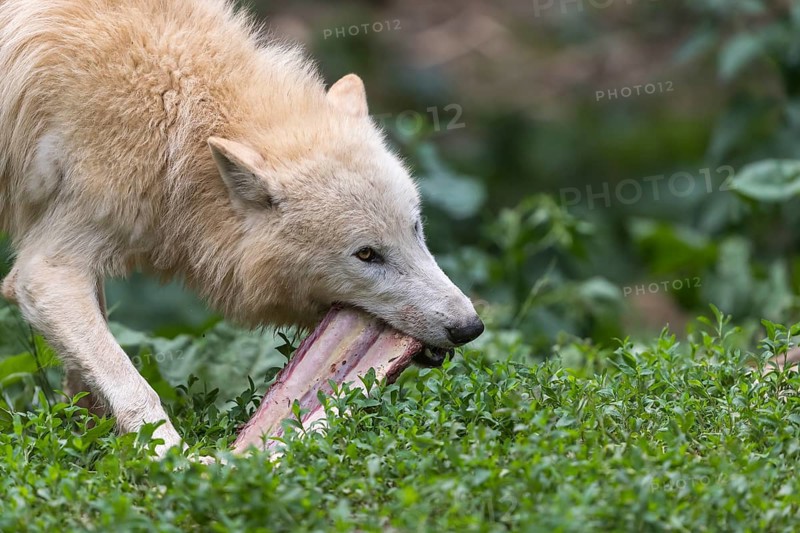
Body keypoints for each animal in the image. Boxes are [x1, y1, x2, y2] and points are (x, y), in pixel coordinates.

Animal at [0, 0, 483, 455]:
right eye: (366, 254)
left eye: (416, 229)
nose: (470, 327)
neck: (177, 114)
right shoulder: (46, 269)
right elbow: (130, 382)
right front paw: (171, 459)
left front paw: (90, 437)